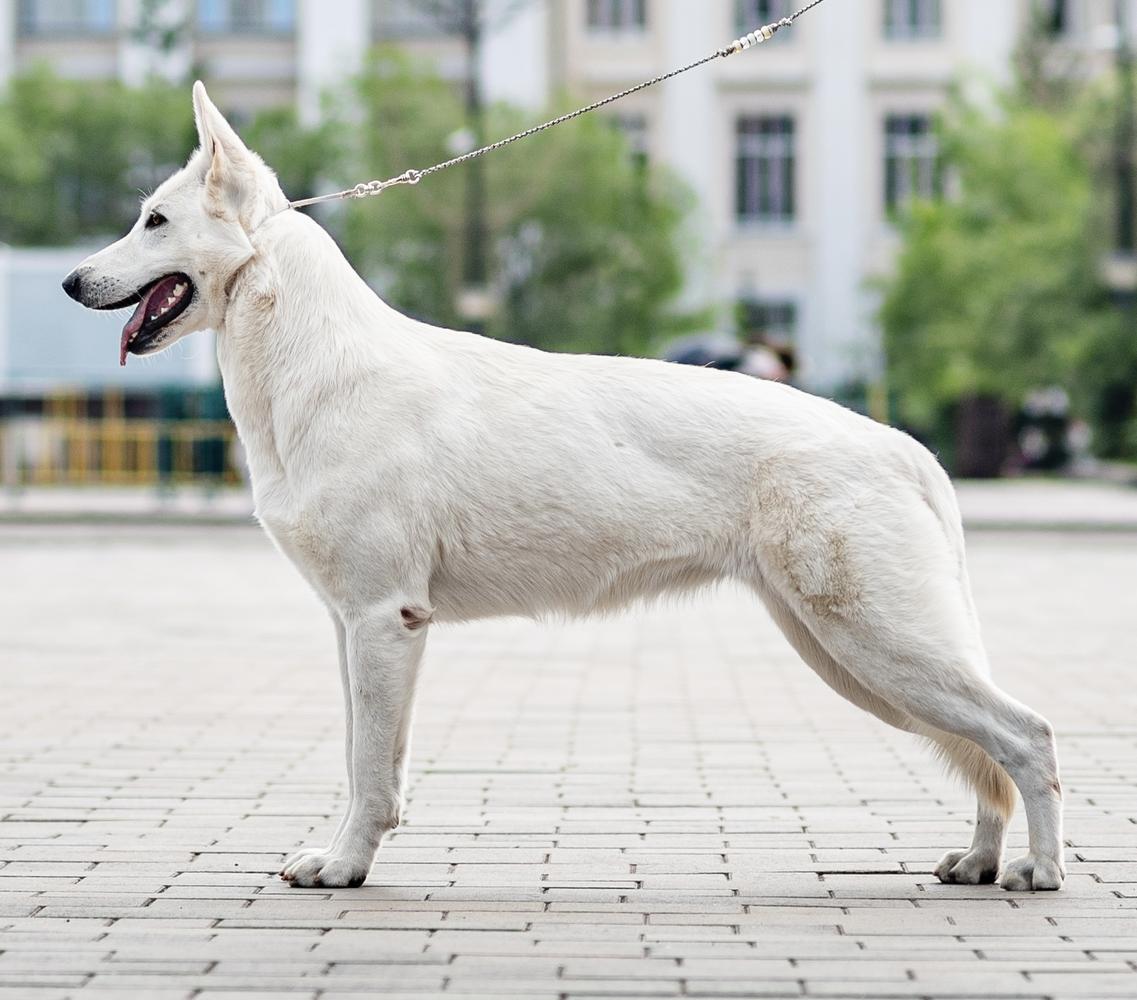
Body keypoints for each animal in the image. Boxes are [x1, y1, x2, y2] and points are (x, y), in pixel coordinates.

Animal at [62, 80, 1059, 890]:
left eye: (153, 221)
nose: (72, 281)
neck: (312, 365)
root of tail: (905, 448)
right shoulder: (353, 628)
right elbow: (365, 761)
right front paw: (344, 857)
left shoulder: (384, 621)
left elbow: (370, 771)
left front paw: (345, 868)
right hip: (852, 657)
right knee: (988, 752)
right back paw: (977, 862)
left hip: (876, 645)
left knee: (1025, 736)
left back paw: (1036, 873)